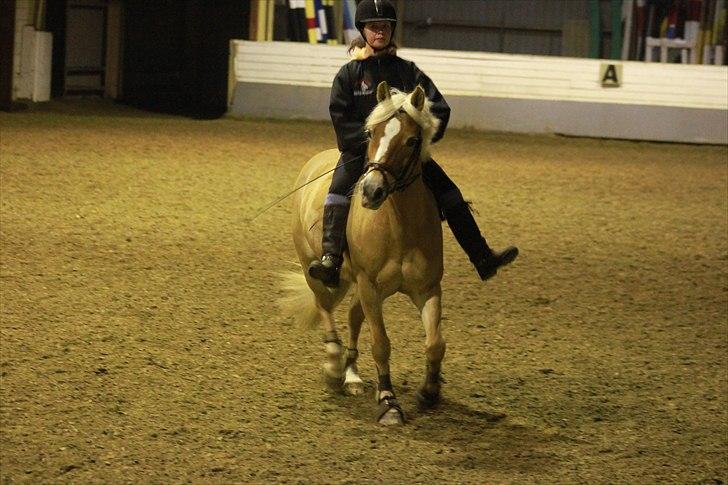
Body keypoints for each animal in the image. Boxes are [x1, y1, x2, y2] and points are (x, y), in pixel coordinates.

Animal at [284, 81, 444, 426]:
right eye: (371, 134)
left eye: (412, 140)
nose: (371, 191)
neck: (399, 227)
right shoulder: (370, 288)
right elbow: (381, 344)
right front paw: (388, 402)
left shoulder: (426, 288)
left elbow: (435, 343)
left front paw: (429, 391)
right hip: (317, 272)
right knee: (325, 308)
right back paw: (334, 367)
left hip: (355, 284)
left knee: (352, 317)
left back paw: (352, 375)